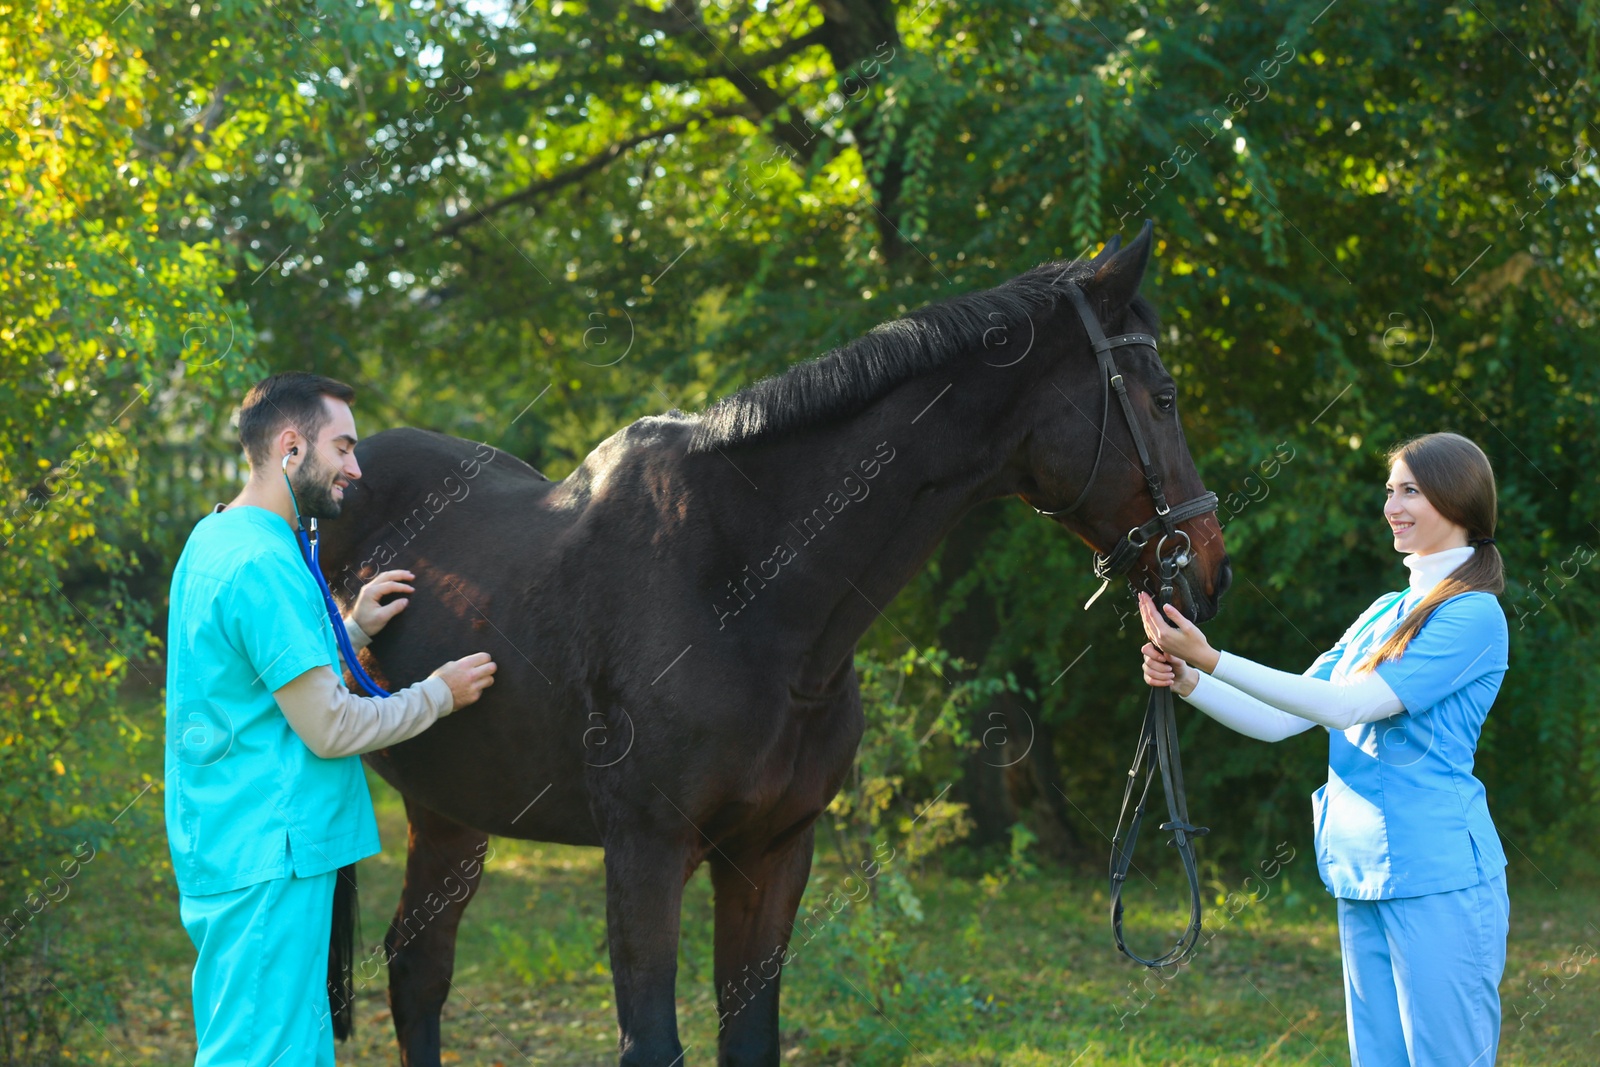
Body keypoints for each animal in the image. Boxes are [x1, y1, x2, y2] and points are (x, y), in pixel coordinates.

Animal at [318, 220, 1228, 1062]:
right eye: (1163, 395)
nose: (1208, 566)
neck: (747, 594)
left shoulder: (773, 851)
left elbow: (751, 1036)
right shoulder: (643, 851)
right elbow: (653, 1041)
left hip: (448, 808)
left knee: (417, 969)